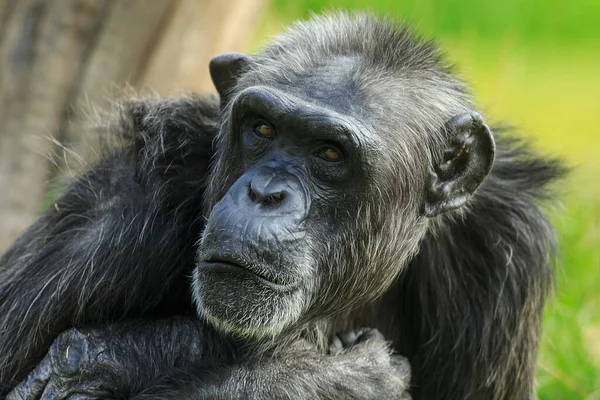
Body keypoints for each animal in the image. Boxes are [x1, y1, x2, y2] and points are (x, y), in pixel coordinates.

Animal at [0, 10, 564, 398]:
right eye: (262, 128)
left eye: (330, 153)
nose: (264, 193)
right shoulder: (118, 207)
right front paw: (332, 377)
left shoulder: (504, 256)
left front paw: (116, 357)